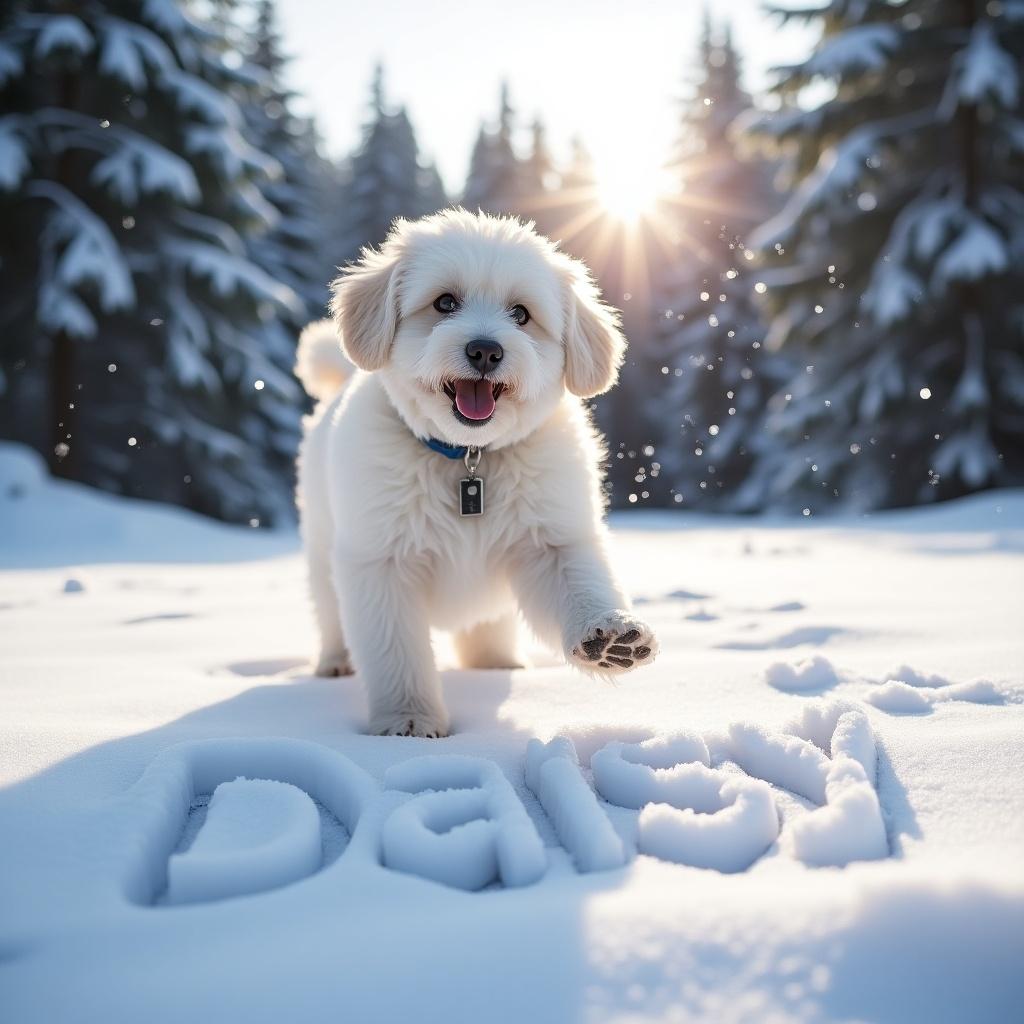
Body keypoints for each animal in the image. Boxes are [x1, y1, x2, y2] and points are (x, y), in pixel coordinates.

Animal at [294, 209, 655, 737]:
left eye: (521, 314)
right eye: (445, 302)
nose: (485, 351)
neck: (468, 458)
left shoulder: (553, 540)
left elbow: (580, 585)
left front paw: (609, 636)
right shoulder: (380, 562)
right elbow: (395, 653)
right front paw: (407, 720)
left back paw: (497, 661)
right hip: (322, 548)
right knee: (328, 611)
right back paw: (334, 661)